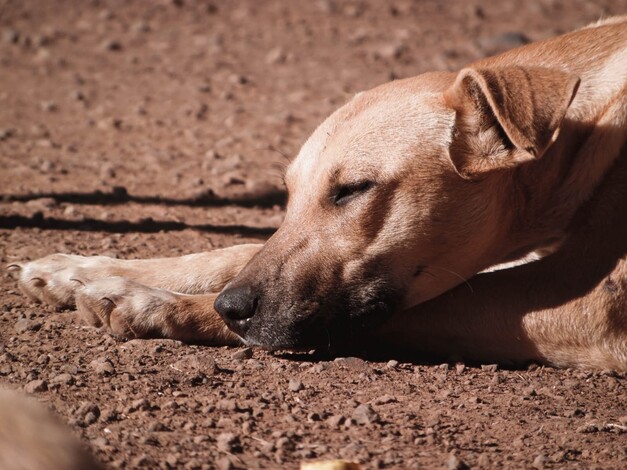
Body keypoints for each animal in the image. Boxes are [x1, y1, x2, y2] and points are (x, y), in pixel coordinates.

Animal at [6, 17, 627, 370]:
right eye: (288, 194)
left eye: (352, 190)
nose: (232, 307)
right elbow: (234, 250)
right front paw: (81, 269)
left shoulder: (590, 304)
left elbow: (409, 309)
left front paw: (156, 304)